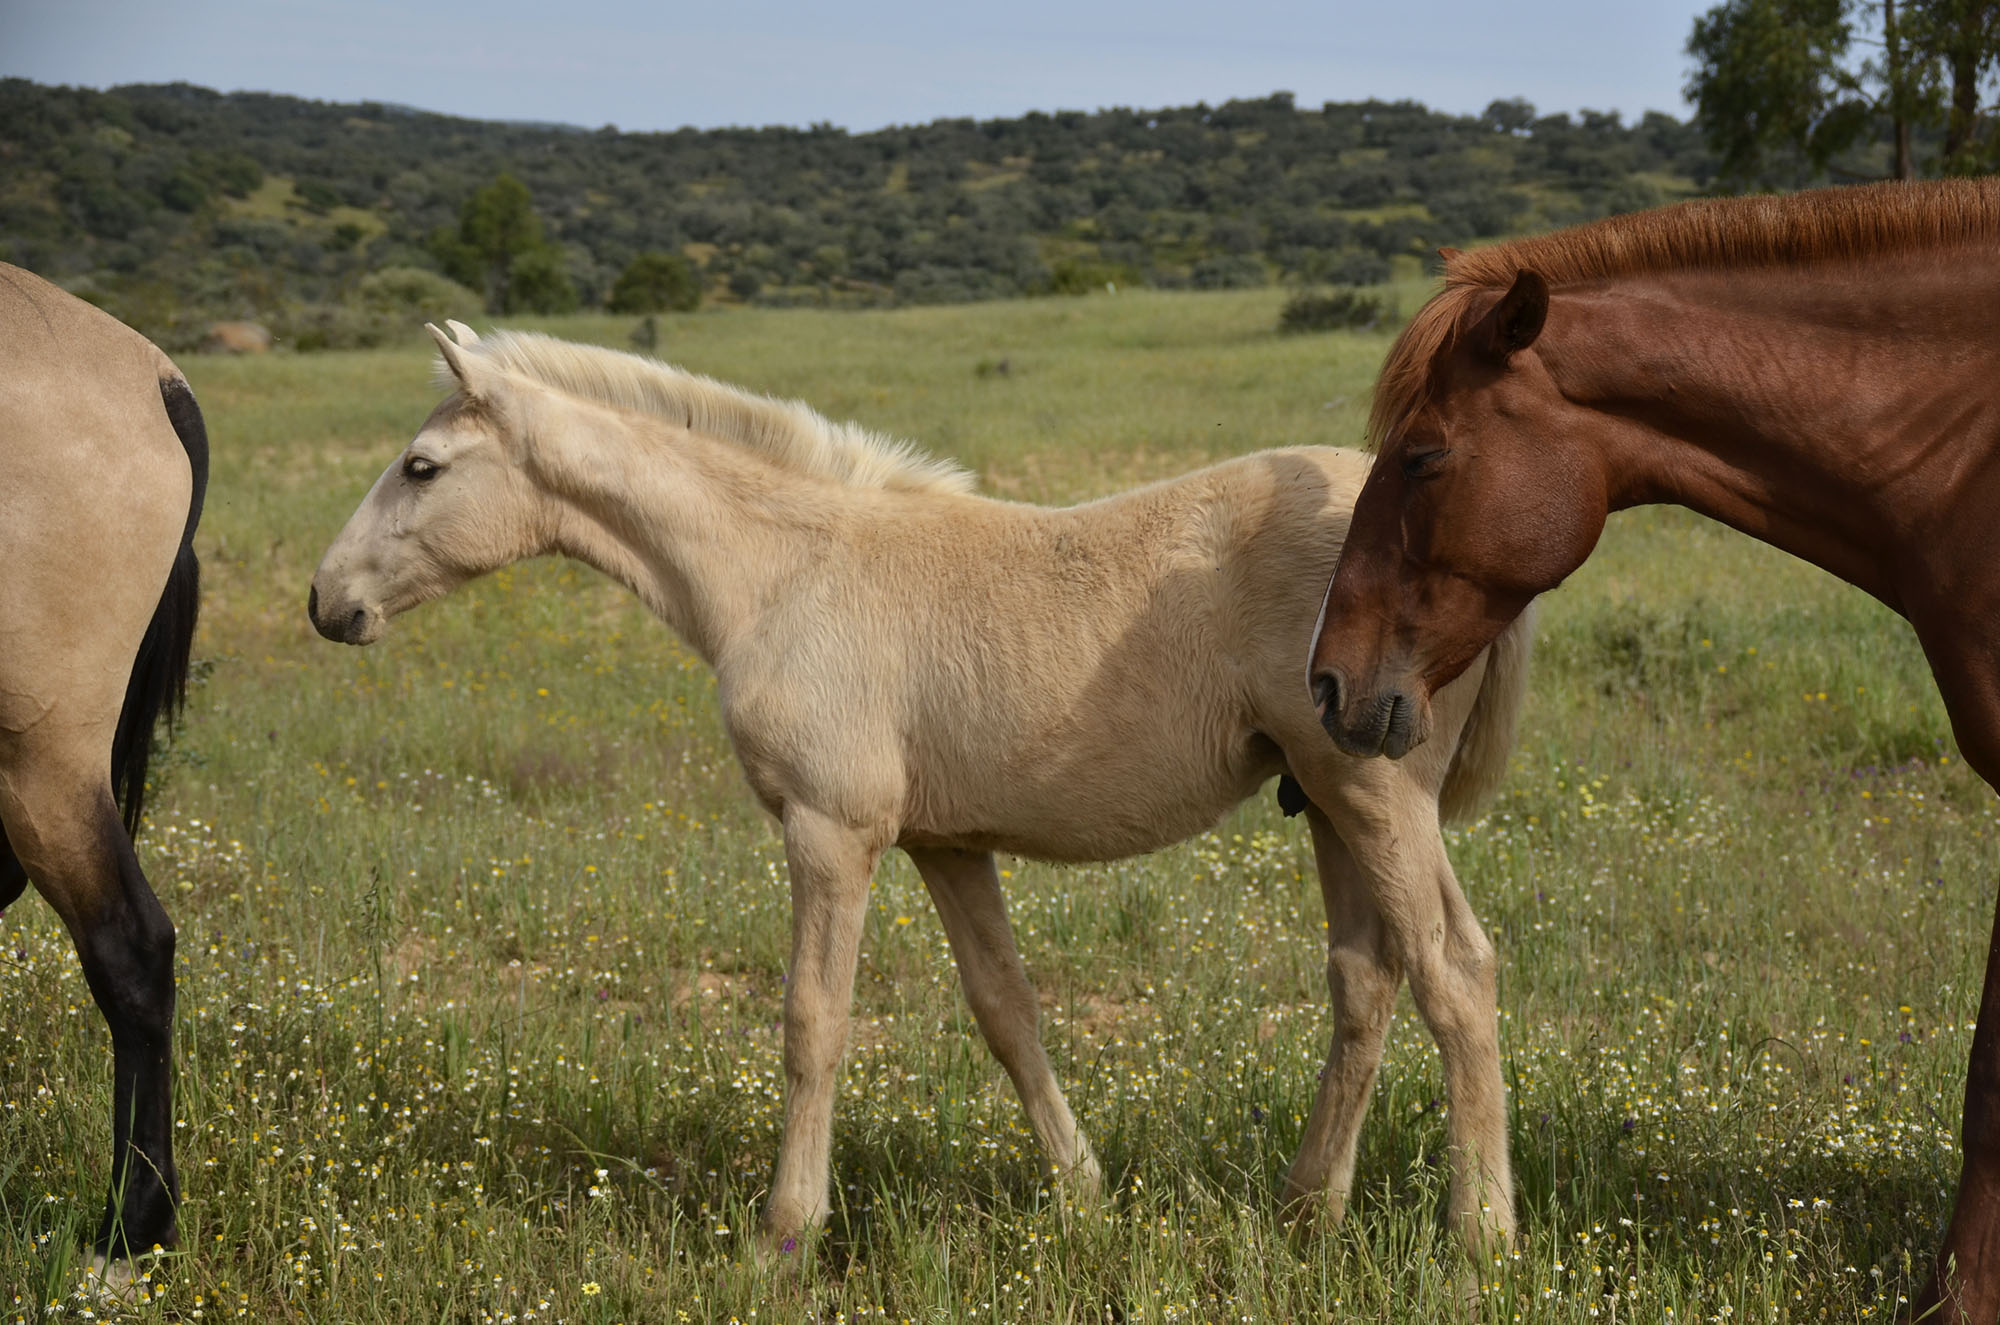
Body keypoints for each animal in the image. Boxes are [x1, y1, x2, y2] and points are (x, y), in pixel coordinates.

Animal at [308, 326, 1528, 1264]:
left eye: (421, 466)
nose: (326, 601)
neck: (786, 571)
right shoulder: (947, 842)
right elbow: (1006, 1010)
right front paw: (1083, 1193)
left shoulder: (830, 830)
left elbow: (814, 1019)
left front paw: (783, 1236)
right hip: (1323, 798)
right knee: (1366, 981)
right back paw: (1305, 1210)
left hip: (1376, 794)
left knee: (1455, 971)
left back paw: (1480, 1236)